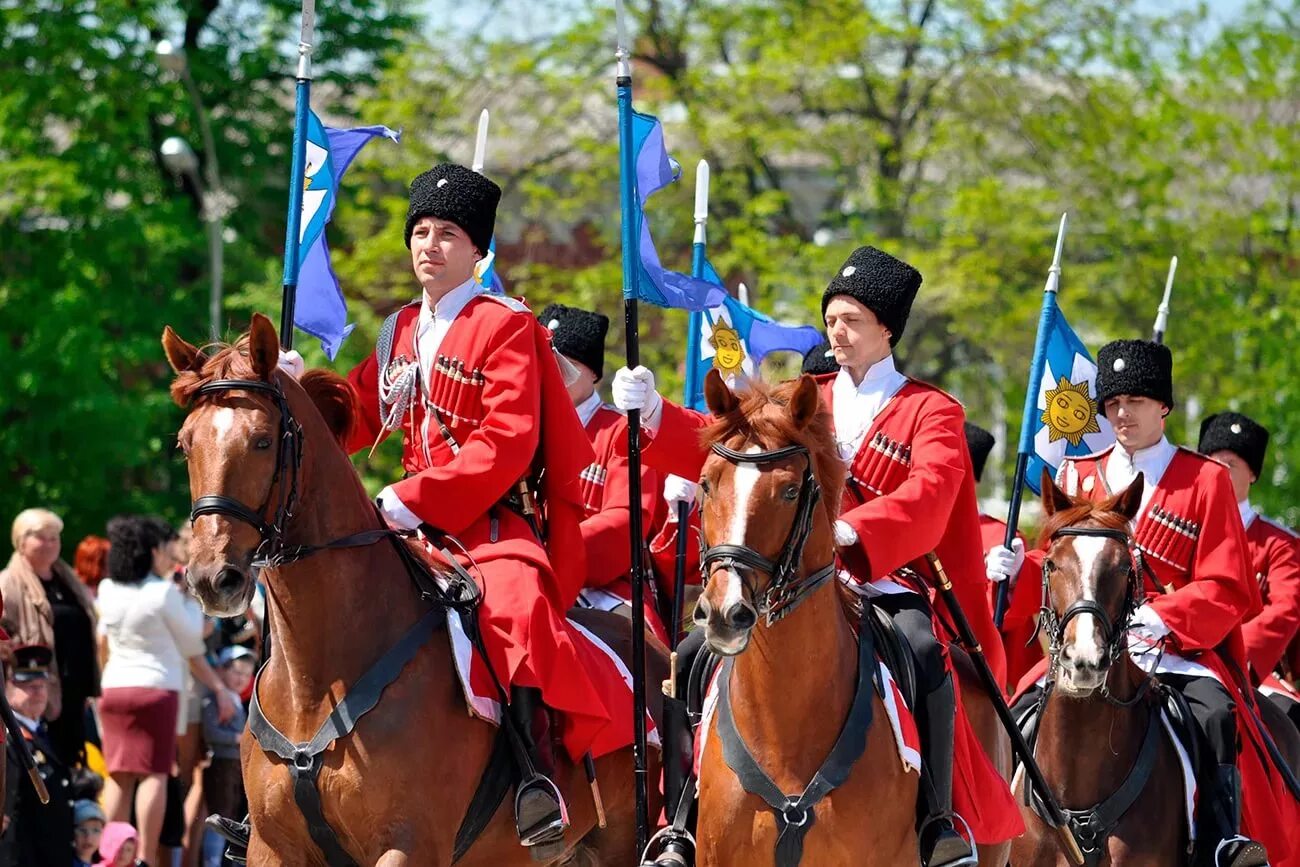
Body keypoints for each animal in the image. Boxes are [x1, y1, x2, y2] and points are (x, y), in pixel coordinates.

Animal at [163, 313, 665, 867]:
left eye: (262, 441)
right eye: (185, 443)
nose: (213, 577)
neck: (317, 679)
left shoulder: (408, 844)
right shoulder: (272, 847)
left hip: (621, 841)